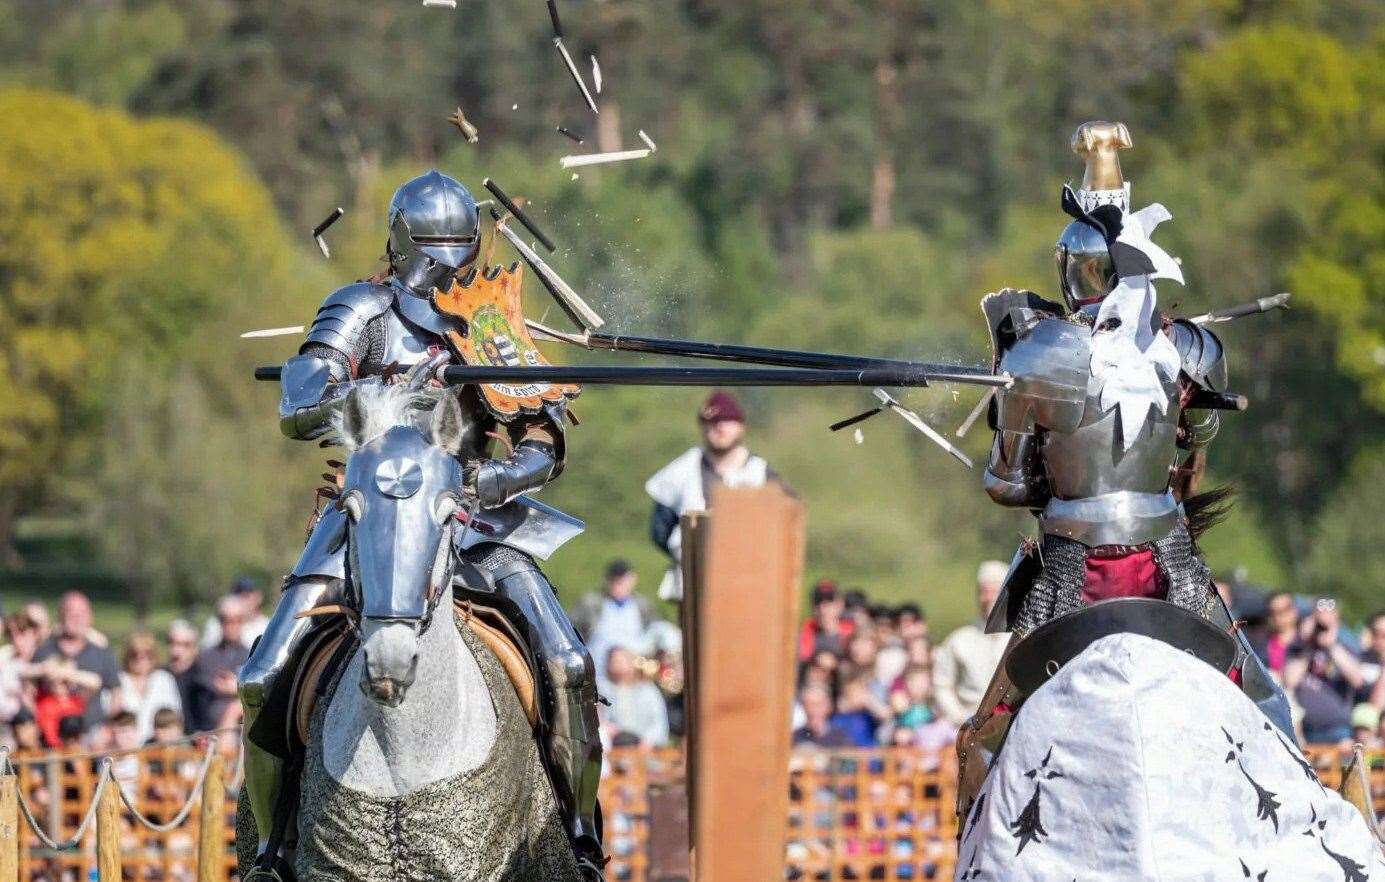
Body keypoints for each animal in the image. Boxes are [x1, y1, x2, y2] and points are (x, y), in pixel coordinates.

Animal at [238, 384, 578, 880]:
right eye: (349, 511)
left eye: (449, 514)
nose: (390, 662)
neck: (405, 756)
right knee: (259, 682)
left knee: (568, 666)